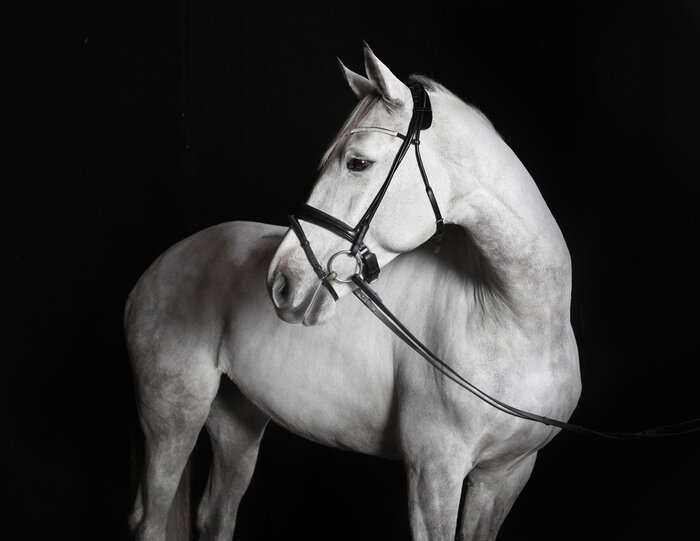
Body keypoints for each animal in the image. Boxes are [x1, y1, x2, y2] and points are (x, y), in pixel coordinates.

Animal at [126, 45, 581, 541]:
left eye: (357, 162)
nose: (281, 281)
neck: (514, 323)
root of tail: (164, 262)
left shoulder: (504, 475)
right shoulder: (433, 475)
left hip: (237, 421)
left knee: (216, 514)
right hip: (173, 416)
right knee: (151, 521)